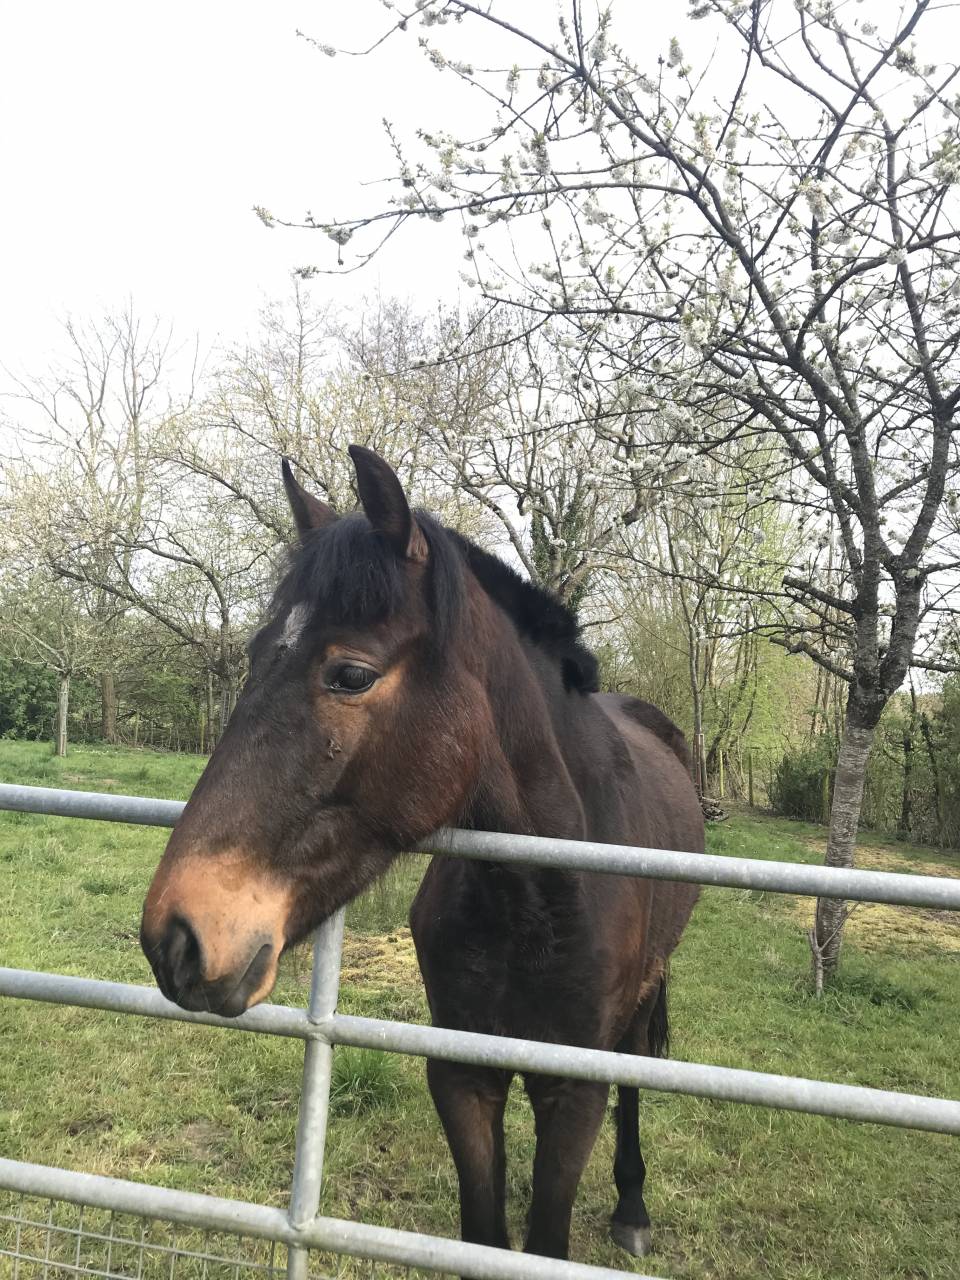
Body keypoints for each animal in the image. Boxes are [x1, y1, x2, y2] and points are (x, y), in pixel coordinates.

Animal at [140, 445, 703, 1263]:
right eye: (254, 657)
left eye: (350, 674)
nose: (176, 936)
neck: (534, 898)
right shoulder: (462, 1077)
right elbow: (483, 1234)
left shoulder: (572, 1090)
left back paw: (632, 1206)